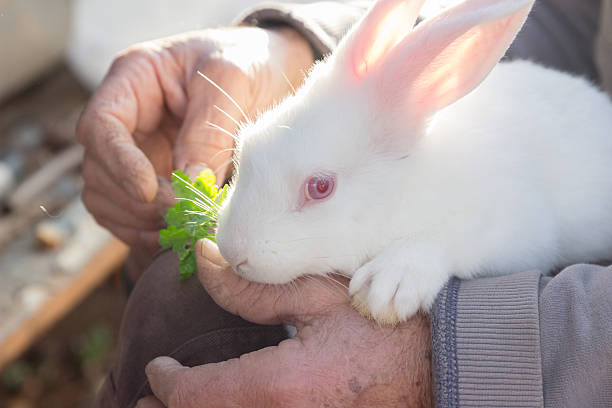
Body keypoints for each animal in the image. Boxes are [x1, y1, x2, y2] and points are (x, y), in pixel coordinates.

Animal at [214, 0, 612, 324]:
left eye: (321, 187)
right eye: (247, 145)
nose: (232, 251)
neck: (402, 189)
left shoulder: (516, 227)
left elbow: (448, 241)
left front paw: (386, 285)